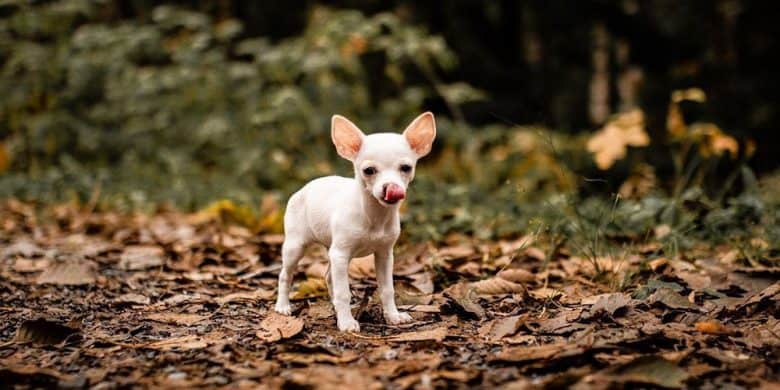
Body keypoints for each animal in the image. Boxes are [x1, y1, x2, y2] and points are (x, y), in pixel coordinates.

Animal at [274, 111, 436, 330]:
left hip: (333, 250)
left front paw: (393, 316)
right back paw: (283, 306)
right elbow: (344, 292)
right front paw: (347, 323)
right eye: (369, 170)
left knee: (329, 277)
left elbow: (387, 289)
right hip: (296, 246)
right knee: (286, 274)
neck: (375, 216)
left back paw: (334, 306)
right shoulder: (341, 254)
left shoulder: (384, 255)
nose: (391, 187)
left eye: (406, 168)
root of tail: (305, 187)